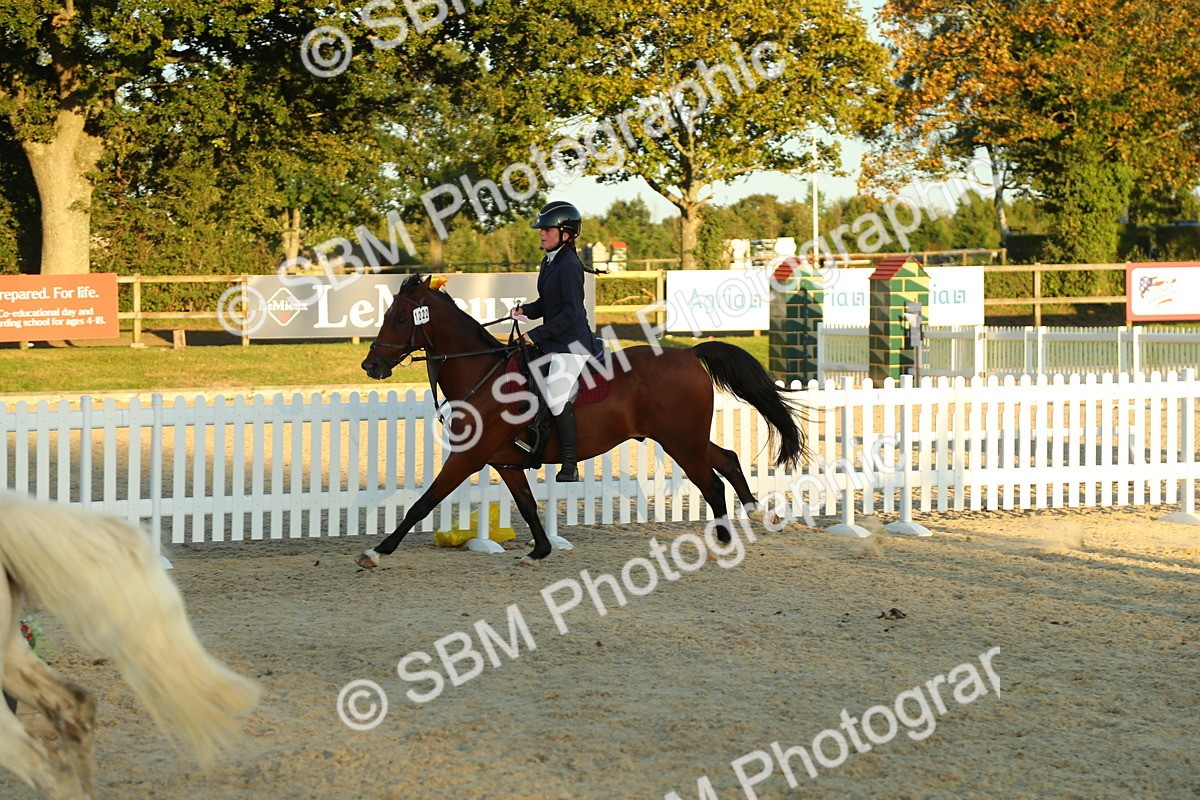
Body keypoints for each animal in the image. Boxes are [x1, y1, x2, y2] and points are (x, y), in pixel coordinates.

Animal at [356, 273, 809, 568]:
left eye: (400, 318)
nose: (371, 366)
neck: (482, 372)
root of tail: (688, 353)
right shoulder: (504, 461)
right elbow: (527, 506)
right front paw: (539, 551)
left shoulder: (467, 458)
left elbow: (422, 503)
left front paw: (377, 552)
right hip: (684, 439)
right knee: (728, 459)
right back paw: (750, 513)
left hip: (681, 442)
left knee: (712, 484)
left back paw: (725, 542)